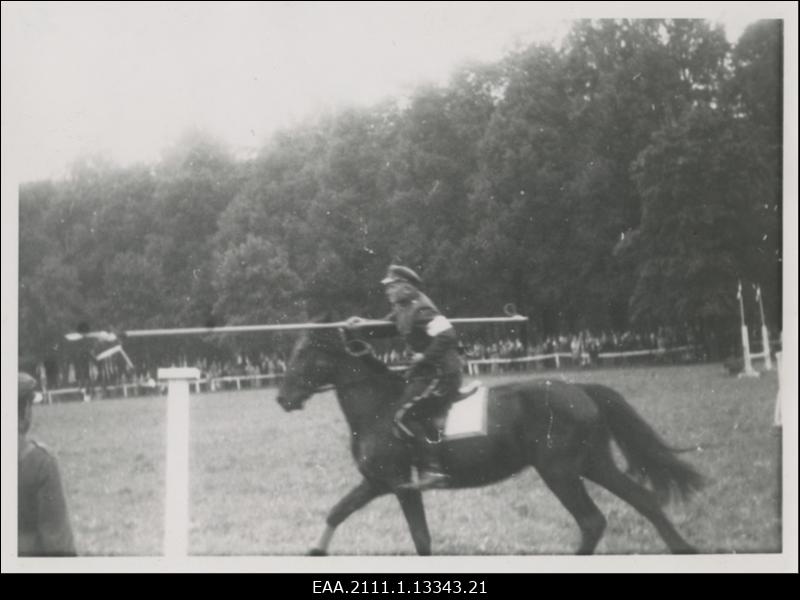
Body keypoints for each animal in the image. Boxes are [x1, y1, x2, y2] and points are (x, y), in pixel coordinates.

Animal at [276, 322, 708, 556]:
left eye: (303, 353)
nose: (282, 398)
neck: (380, 408)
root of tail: (578, 389)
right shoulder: (379, 483)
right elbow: (339, 513)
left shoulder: (398, 485)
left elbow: (419, 537)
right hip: (593, 462)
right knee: (643, 500)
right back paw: (683, 549)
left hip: (560, 471)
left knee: (592, 521)